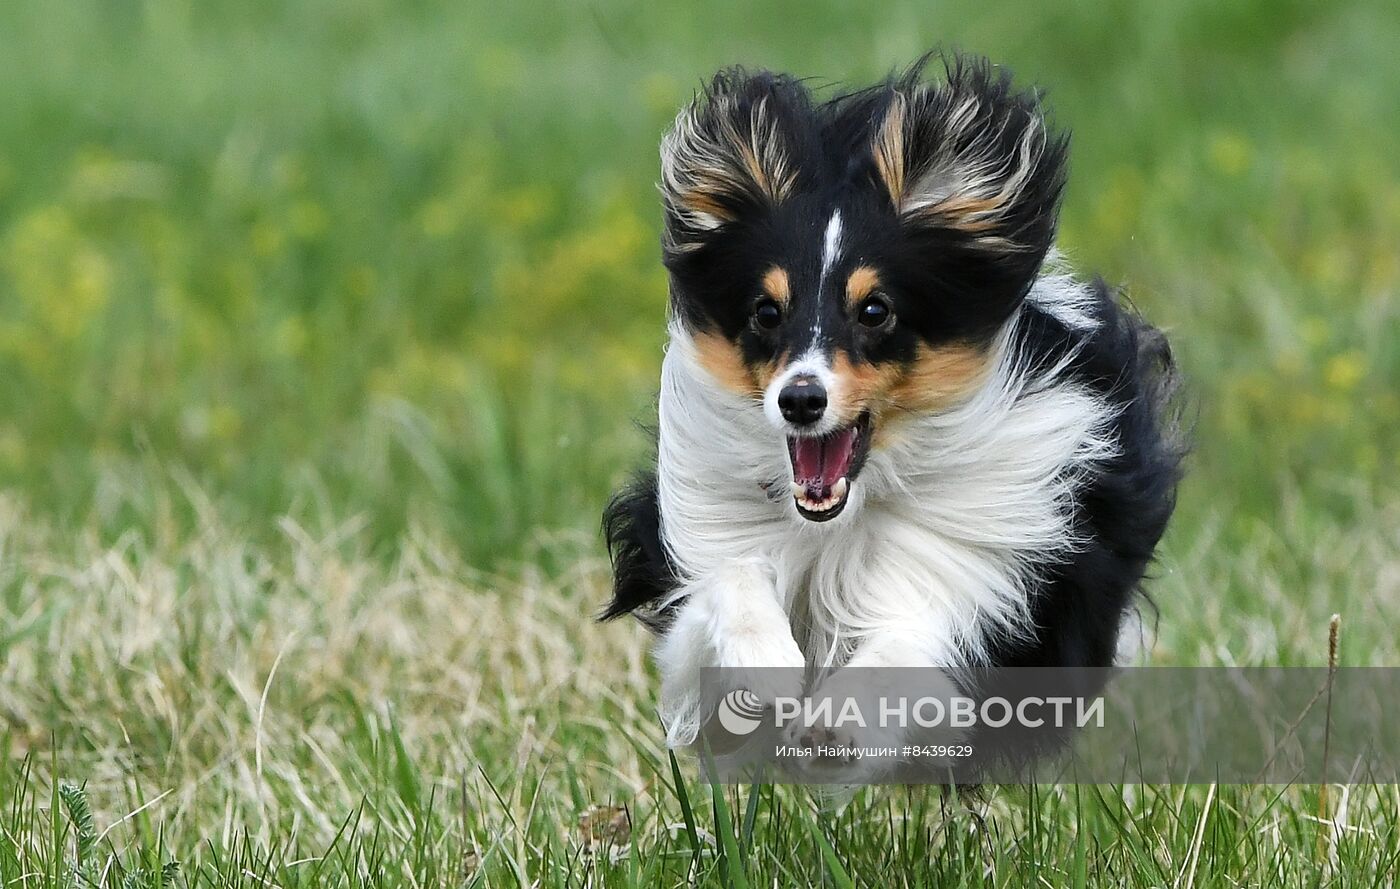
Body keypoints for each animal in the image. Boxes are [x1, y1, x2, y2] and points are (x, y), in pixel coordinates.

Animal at [599, 53, 1181, 772]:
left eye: (875, 310)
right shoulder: (693, 554)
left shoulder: (977, 573)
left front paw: (832, 725)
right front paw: (764, 665)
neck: (846, 516)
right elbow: (727, 583)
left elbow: (909, 642)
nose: (799, 400)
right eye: (766, 311)